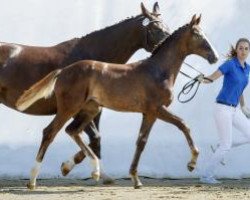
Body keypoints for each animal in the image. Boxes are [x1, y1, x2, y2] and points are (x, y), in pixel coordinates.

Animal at [0, 1, 171, 186]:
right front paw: (71, 168)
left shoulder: (93, 110)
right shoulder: (77, 110)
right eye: (155, 29)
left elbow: (95, 140)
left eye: (167, 26)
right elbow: (92, 138)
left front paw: (88, 171)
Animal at [16, 14, 218, 189]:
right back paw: (33, 180)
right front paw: (192, 163)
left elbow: (141, 142)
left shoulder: (148, 113)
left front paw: (136, 179)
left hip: (91, 109)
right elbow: (183, 125)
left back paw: (89, 170)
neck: (158, 70)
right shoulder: (157, 109)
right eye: (198, 34)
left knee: (72, 131)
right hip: (69, 108)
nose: (214, 57)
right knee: (50, 132)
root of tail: (63, 71)